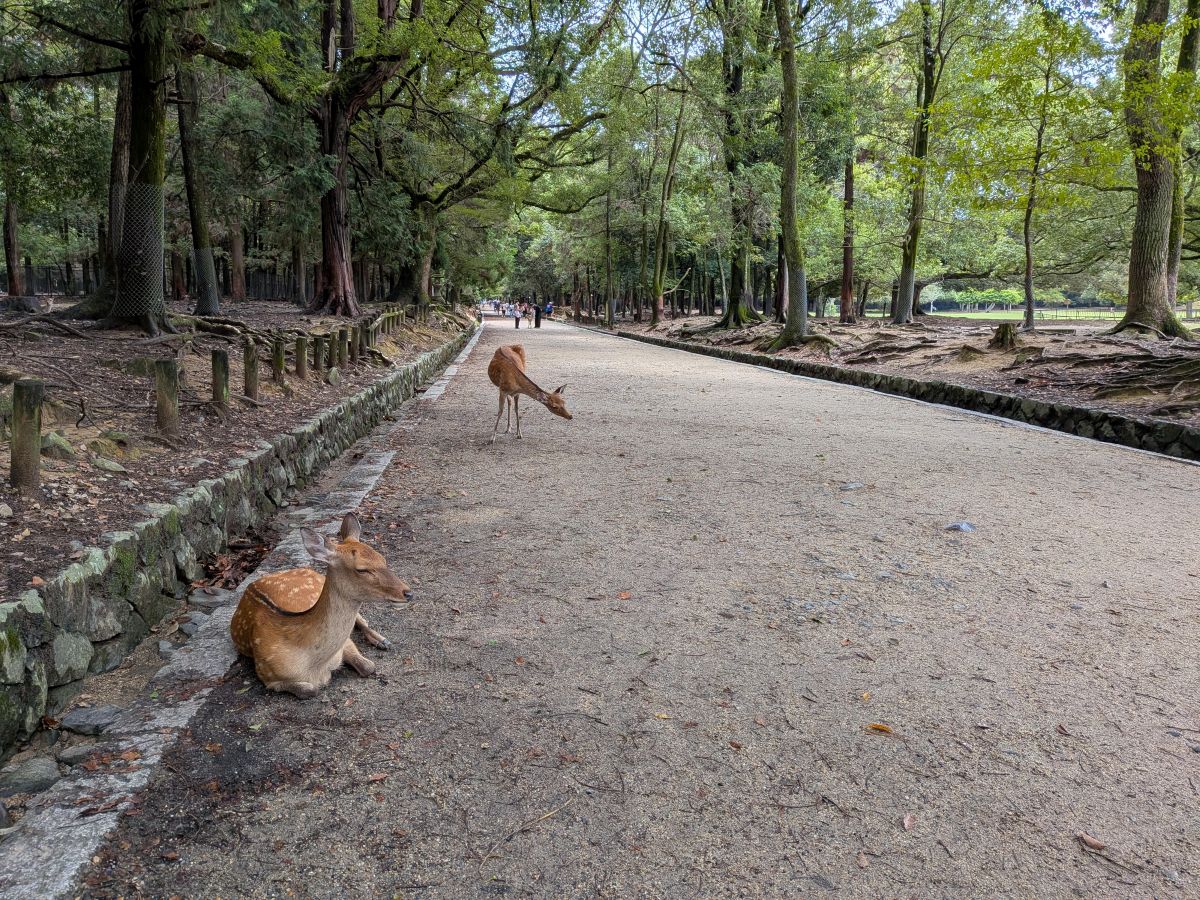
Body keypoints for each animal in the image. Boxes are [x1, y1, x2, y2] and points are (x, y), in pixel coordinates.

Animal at [229, 513, 412, 698]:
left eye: (383, 559)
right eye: (361, 569)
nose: (408, 593)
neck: (315, 666)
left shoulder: (345, 644)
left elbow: (369, 666)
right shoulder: (266, 674)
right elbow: (311, 690)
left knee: (362, 621)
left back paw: (383, 641)